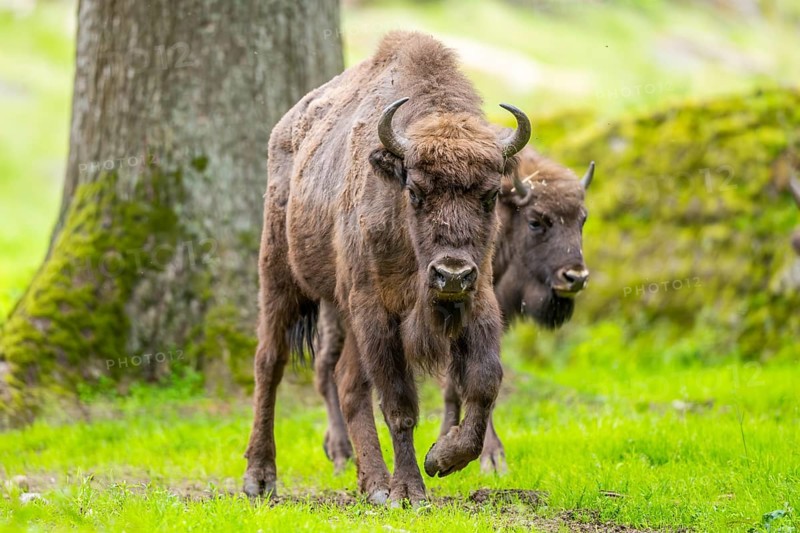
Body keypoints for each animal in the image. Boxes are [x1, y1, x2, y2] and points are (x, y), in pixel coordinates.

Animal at [243, 31, 532, 505]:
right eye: (415, 191)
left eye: (490, 195)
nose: (452, 273)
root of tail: (284, 130)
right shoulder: (378, 312)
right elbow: (400, 405)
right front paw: (410, 490)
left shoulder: (479, 301)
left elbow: (485, 383)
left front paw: (441, 459)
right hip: (281, 277)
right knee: (270, 362)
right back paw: (261, 478)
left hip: (344, 308)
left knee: (347, 382)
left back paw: (372, 482)